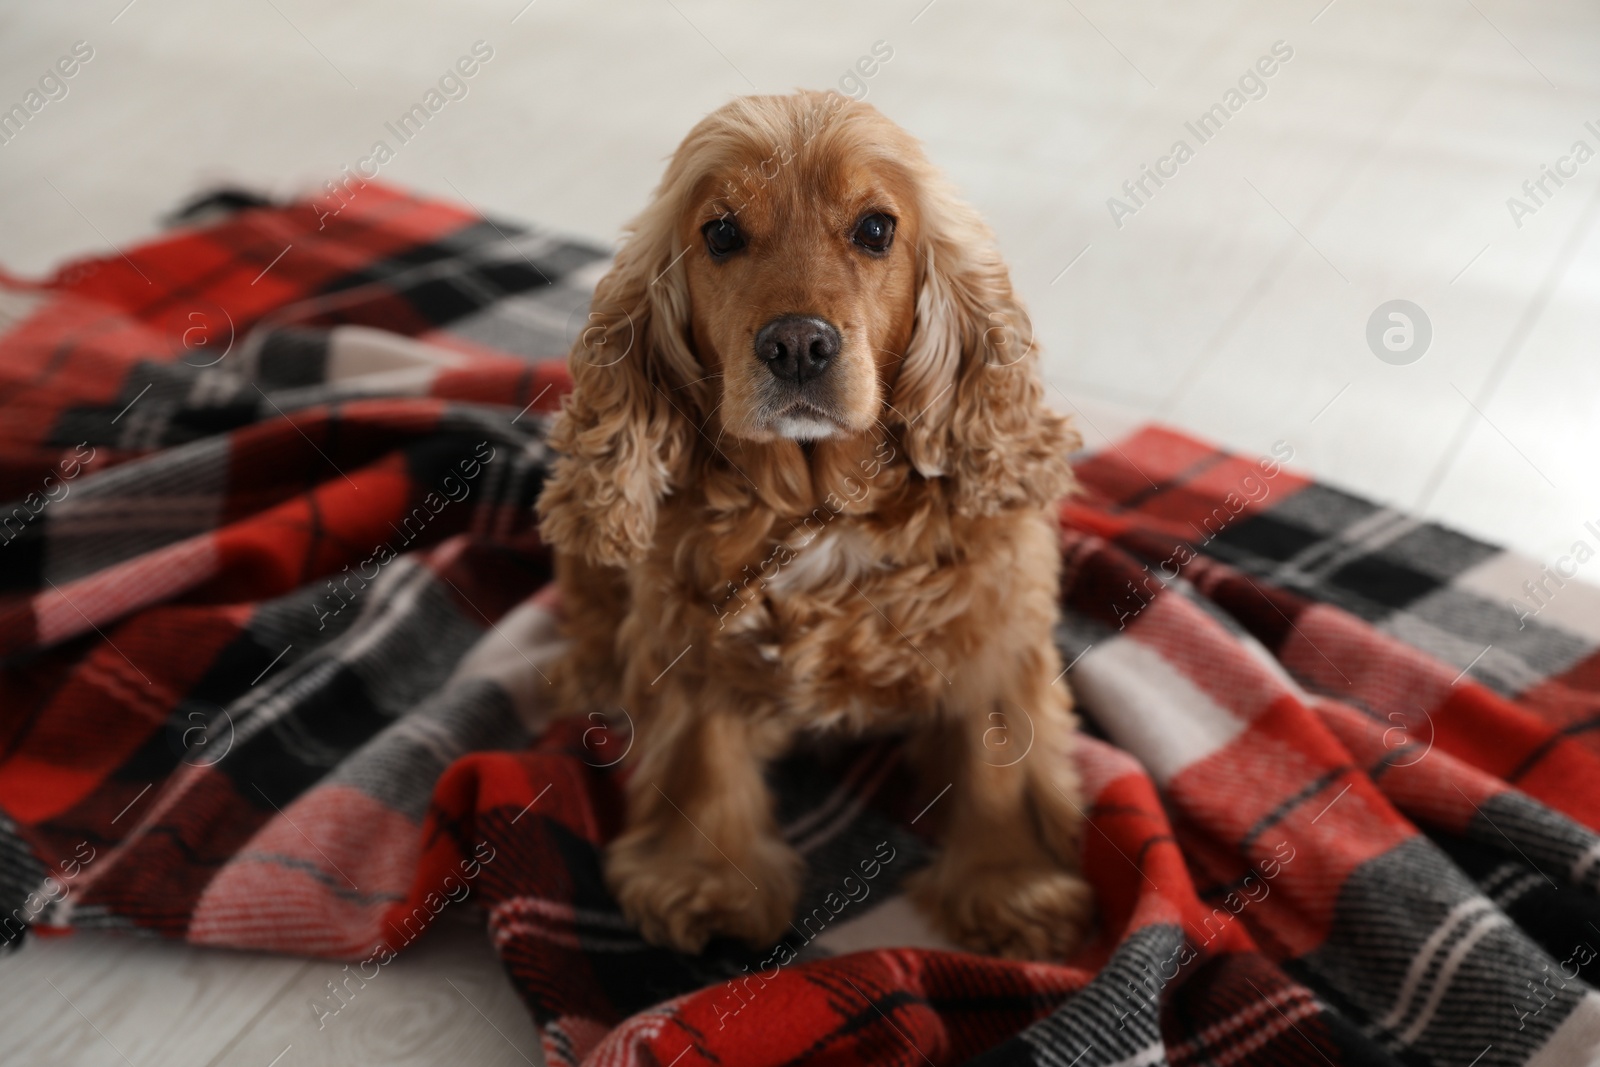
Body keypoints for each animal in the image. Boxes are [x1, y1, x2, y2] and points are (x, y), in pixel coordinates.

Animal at [534, 89, 1088, 959]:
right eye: (721, 233)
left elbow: (999, 758)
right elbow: (703, 757)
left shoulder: (998, 634)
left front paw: (1012, 886)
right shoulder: (688, 641)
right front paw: (703, 882)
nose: (797, 343)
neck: (818, 508)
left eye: (876, 229)